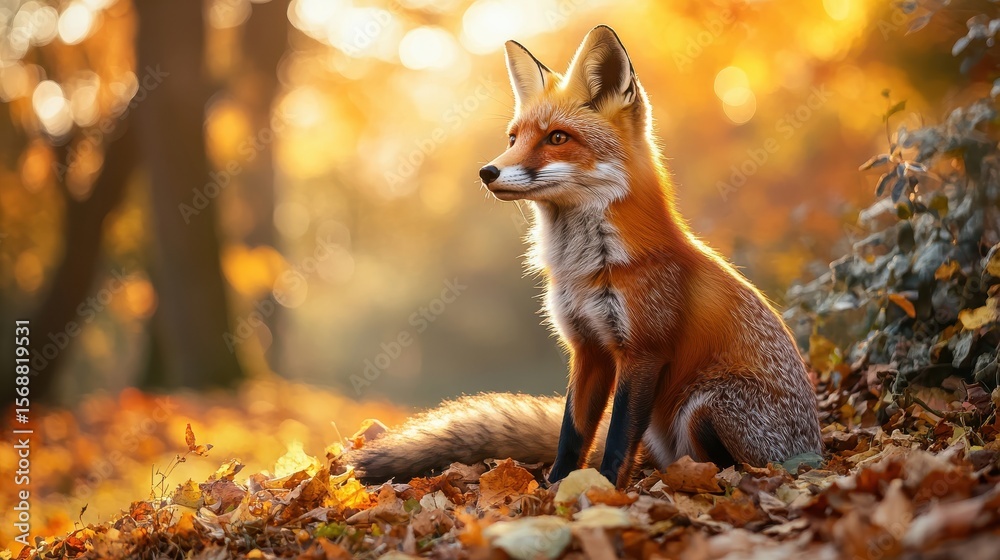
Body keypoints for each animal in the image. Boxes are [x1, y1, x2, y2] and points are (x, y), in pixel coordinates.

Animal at [350, 25, 823, 488]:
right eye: (513, 138)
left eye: (557, 138)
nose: (486, 172)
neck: (586, 269)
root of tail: (813, 452)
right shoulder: (587, 347)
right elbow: (573, 431)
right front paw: (557, 486)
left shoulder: (642, 351)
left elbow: (617, 436)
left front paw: (605, 489)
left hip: (706, 405)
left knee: (720, 461)